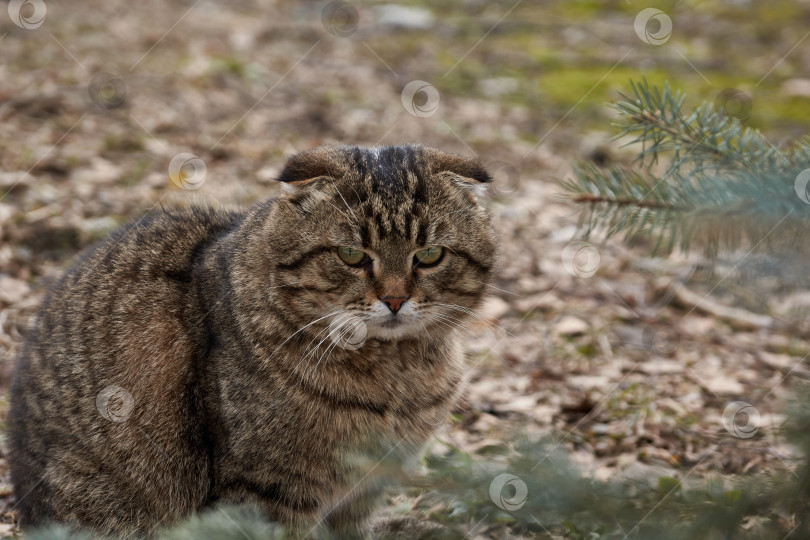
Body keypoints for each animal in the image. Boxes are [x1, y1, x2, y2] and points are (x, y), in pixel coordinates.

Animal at [9, 143, 496, 536]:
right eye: (351, 255)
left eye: (429, 255)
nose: (395, 299)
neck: (398, 375)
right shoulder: (266, 489)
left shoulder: (362, 492)